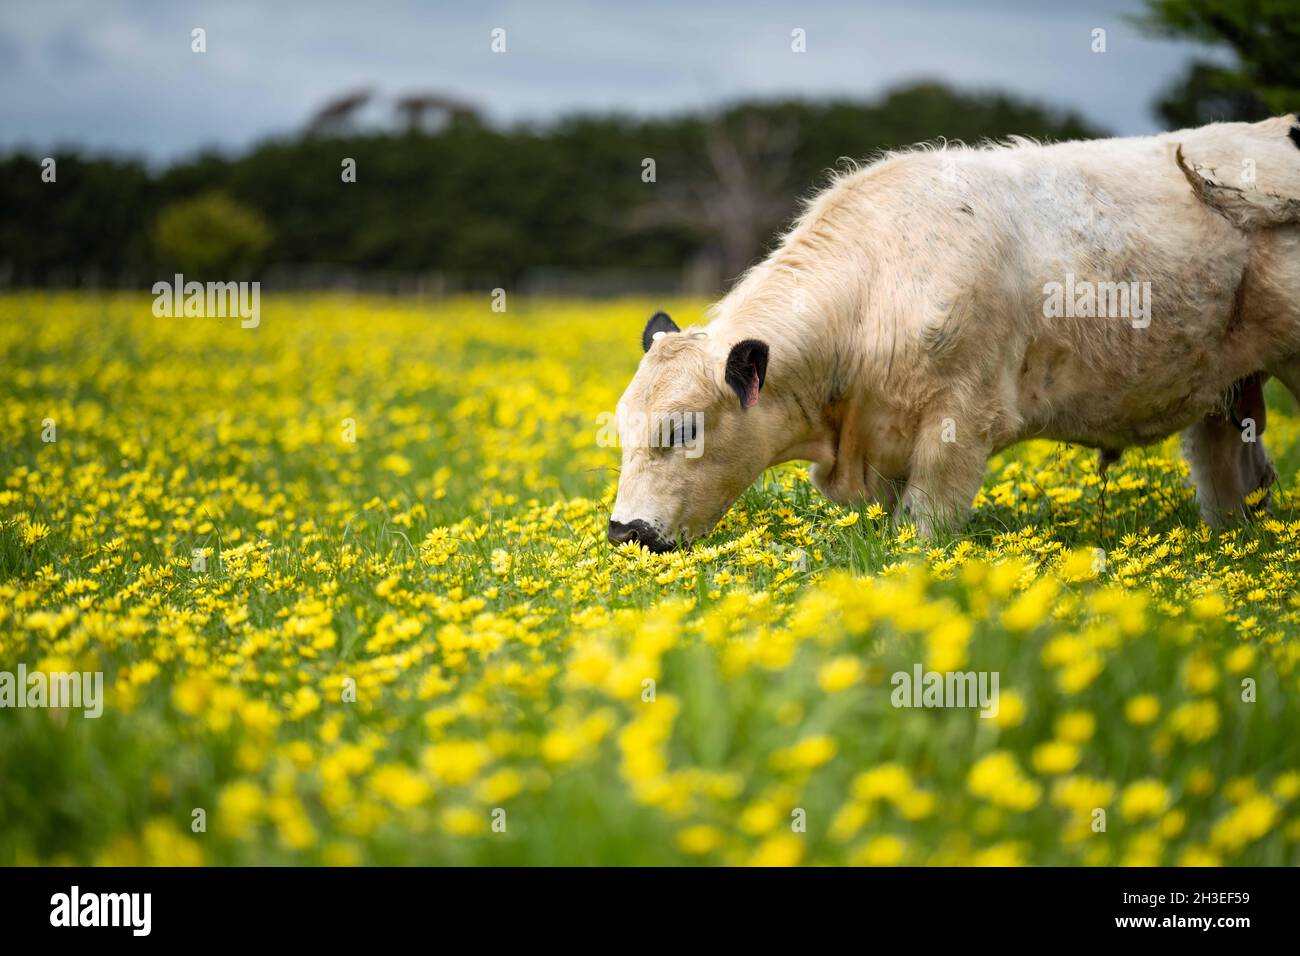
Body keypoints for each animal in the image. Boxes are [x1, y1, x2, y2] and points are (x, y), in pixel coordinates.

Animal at [609, 115, 1300, 552]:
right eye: (622, 430)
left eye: (683, 429)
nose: (625, 532)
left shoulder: (958, 428)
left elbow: (926, 536)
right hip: (1223, 395)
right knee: (1232, 484)